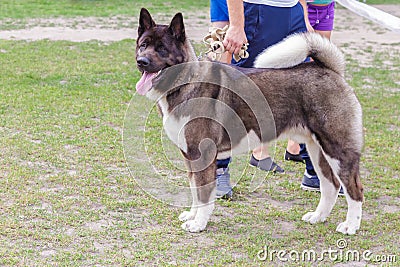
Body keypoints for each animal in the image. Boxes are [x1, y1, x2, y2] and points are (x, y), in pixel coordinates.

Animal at [134, 7, 362, 234]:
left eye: (162, 48)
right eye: (143, 45)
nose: (141, 61)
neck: (187, 80)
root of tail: (330, 70)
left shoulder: (203, 155)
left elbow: (204, 195)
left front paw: (198, 224)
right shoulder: (190, 156)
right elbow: (195, 191)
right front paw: (192, 215)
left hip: (337, 149)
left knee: (354, 189)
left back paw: (350, 225)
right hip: (317, 149)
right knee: (331, 185)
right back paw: (318, 217)